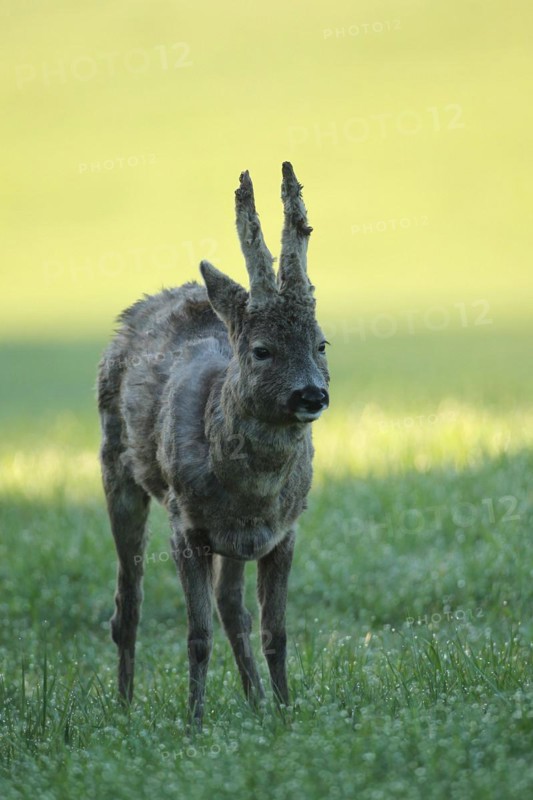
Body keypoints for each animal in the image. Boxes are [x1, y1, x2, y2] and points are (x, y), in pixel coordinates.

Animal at [97, 162, 330, 726]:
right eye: (262, 350)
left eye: (321, 344)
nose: (312, 393)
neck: (252, 491)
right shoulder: (187, 528)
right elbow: (196, 636)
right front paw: (194, 724)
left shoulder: (283, 532)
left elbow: (275, 631)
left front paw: (286, 713)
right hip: (116, 469)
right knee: (127, 602)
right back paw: (124, 708)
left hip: (237, 543)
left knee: (231, 606)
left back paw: (256, 701)